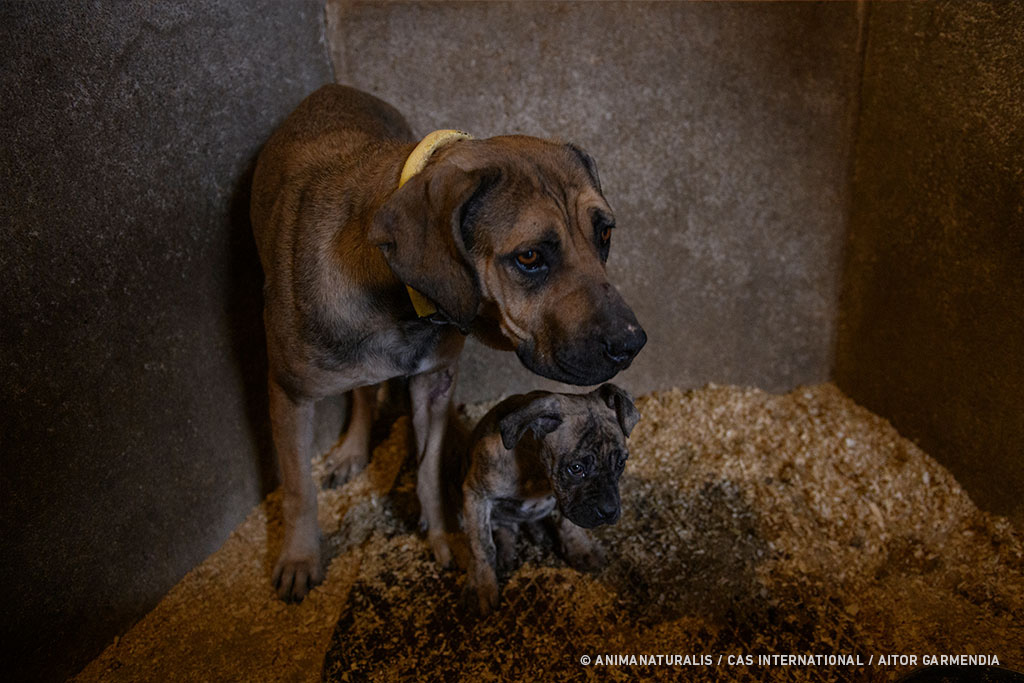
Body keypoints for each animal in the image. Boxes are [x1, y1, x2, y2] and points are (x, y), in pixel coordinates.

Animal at [458, 385, 634, 614]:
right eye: (576, 468)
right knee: (504, 527)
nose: (609, 511)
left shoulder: (565, 500)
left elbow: (568, 524)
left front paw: (580, 548)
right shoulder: (475, 495)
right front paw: (482, 585)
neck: (535, 469)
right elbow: (481, 545)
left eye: (621, 463)